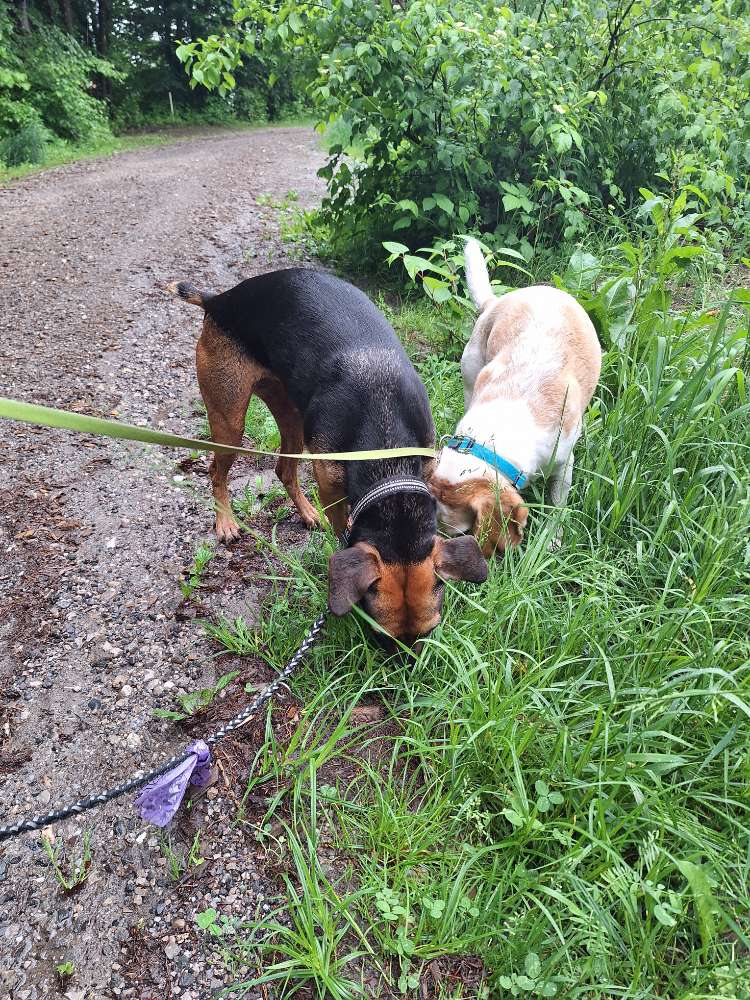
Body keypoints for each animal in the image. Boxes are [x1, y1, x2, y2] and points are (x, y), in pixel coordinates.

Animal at [170, 266, 488, 640]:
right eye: (379, 637)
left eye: (429, 632)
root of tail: (221, 299)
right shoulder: (332, 491)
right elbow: (342, 535)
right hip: (229, 420)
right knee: (216, 472)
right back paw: (225, 523)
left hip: (291, 415)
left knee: (283, 470)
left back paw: (307, 513)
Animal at [432, 239, 604, 560]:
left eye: (462, 533)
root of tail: (495, 302)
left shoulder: (564, 463)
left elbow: (557, 506)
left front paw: (551, 539)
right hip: (470, 372)